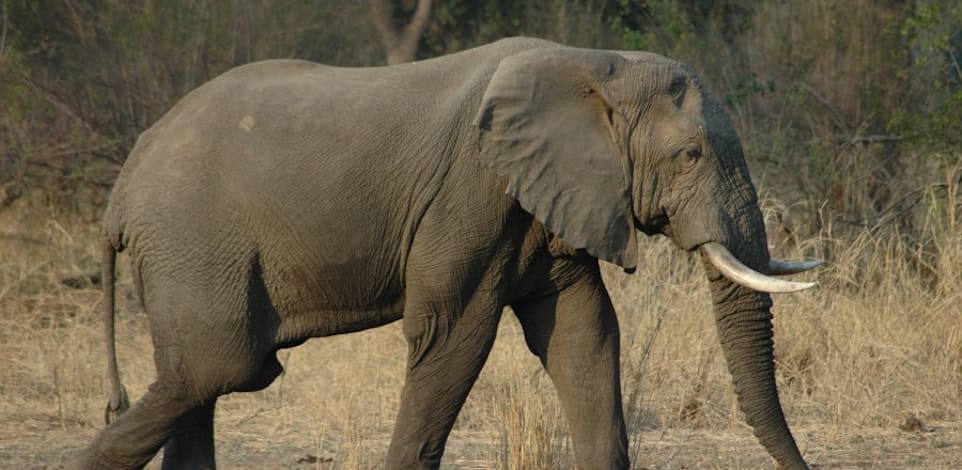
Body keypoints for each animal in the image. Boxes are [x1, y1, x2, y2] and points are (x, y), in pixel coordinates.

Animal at [79, 37, 820, 470]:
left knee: (198, 378)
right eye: (690, 155)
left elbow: (584, 333)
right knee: (219, 367)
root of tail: (120, 193)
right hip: (192, 241)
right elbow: (452, 334)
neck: (594, 65)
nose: (803, 467)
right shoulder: (471, 190)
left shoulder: (545, 198)